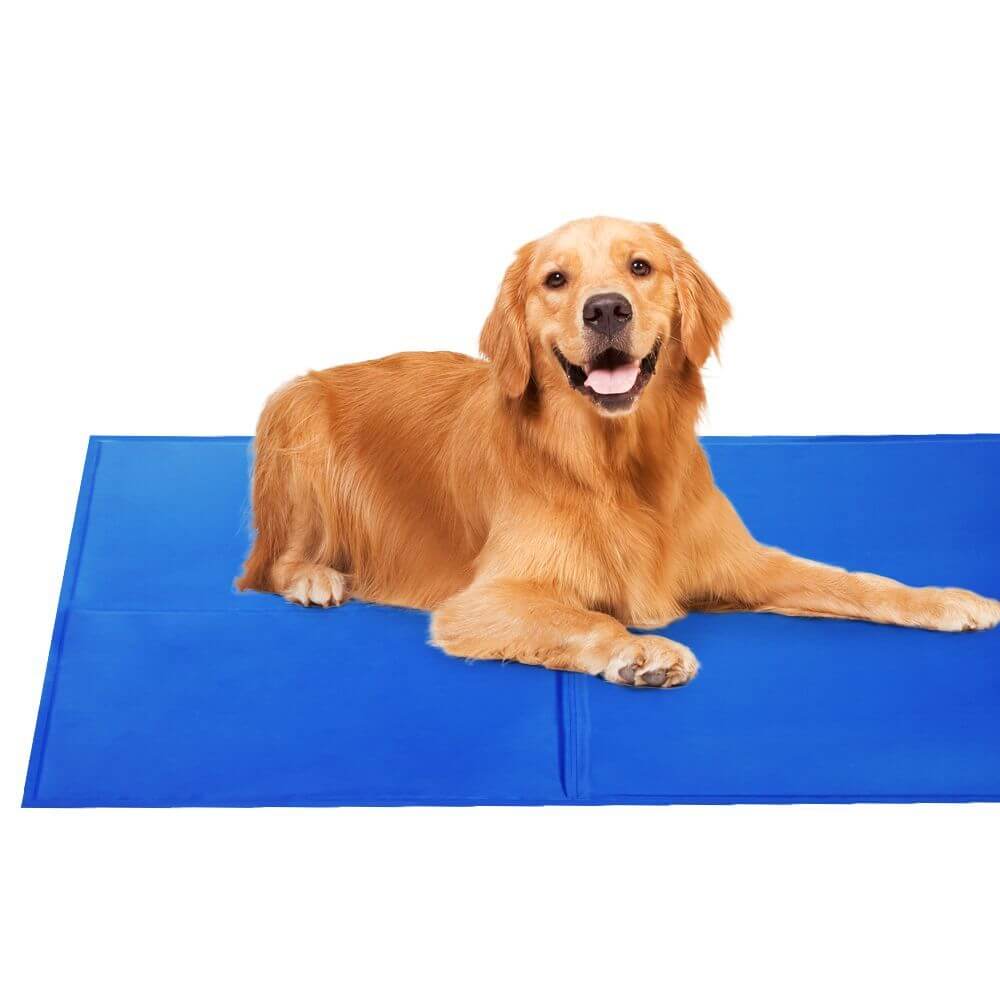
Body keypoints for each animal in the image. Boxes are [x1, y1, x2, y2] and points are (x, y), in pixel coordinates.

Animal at [236, 218, 1000, 688]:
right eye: (555, 279)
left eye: (641, 267)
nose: (606, 308)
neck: (616, 467)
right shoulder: (482, 601)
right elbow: (587, 616)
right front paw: (640, 650)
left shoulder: (741, 563)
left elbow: (854, 581)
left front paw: (943, 598)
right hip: (292, 411)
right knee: (273, 563)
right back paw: (315, 578)